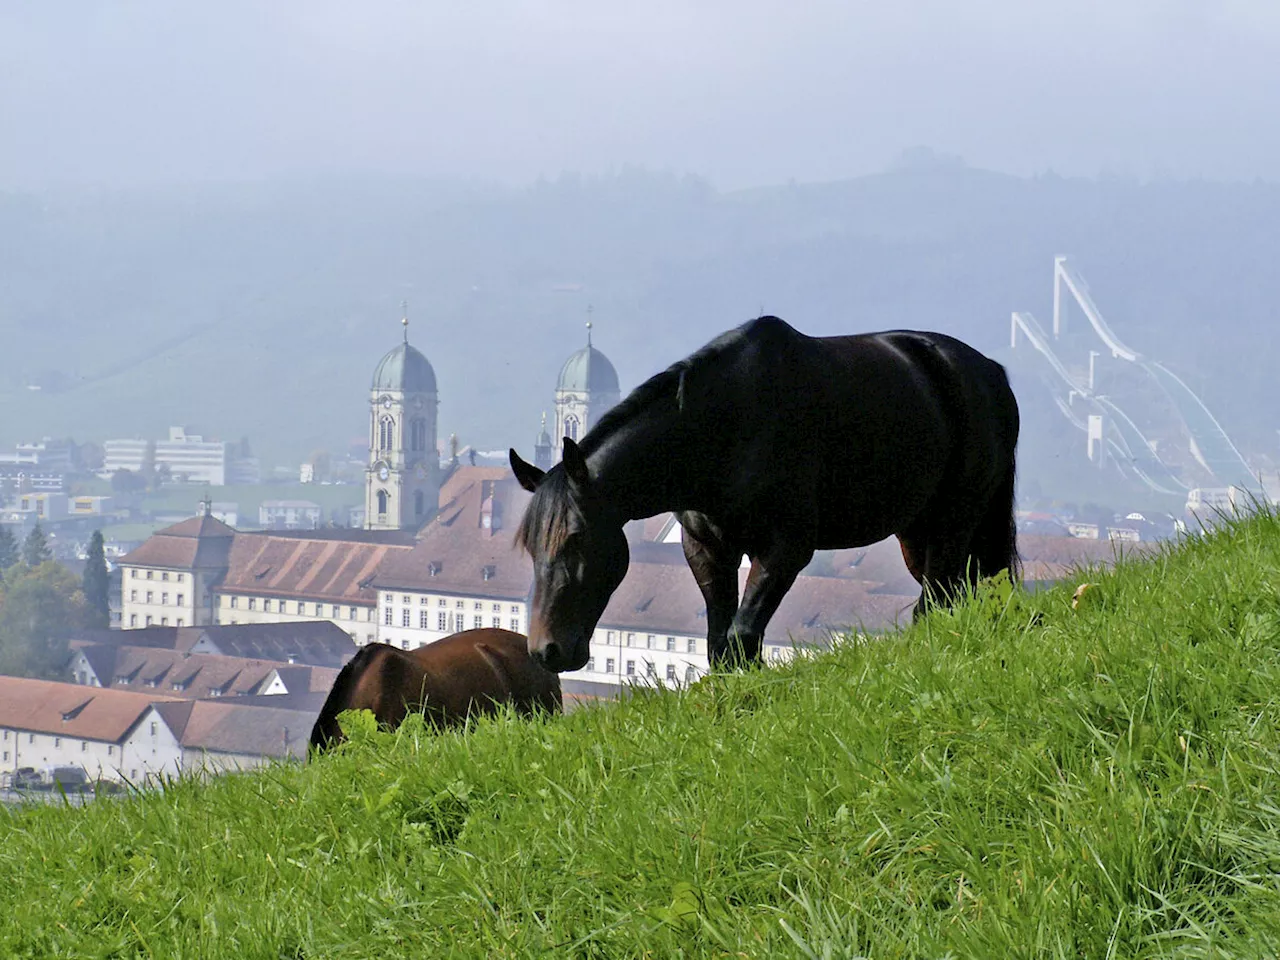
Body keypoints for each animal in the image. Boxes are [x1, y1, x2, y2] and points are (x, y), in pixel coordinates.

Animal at [509, 317, 1018, 675]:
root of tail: (991, 373)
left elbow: (742, 639)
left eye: (577, 538)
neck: (723, 430)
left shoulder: (784, 550)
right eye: (531, 545)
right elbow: (720, 644)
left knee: (938, 599)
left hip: (955, 519)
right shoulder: (707, 550)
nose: (546, 650)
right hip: (917, 531)